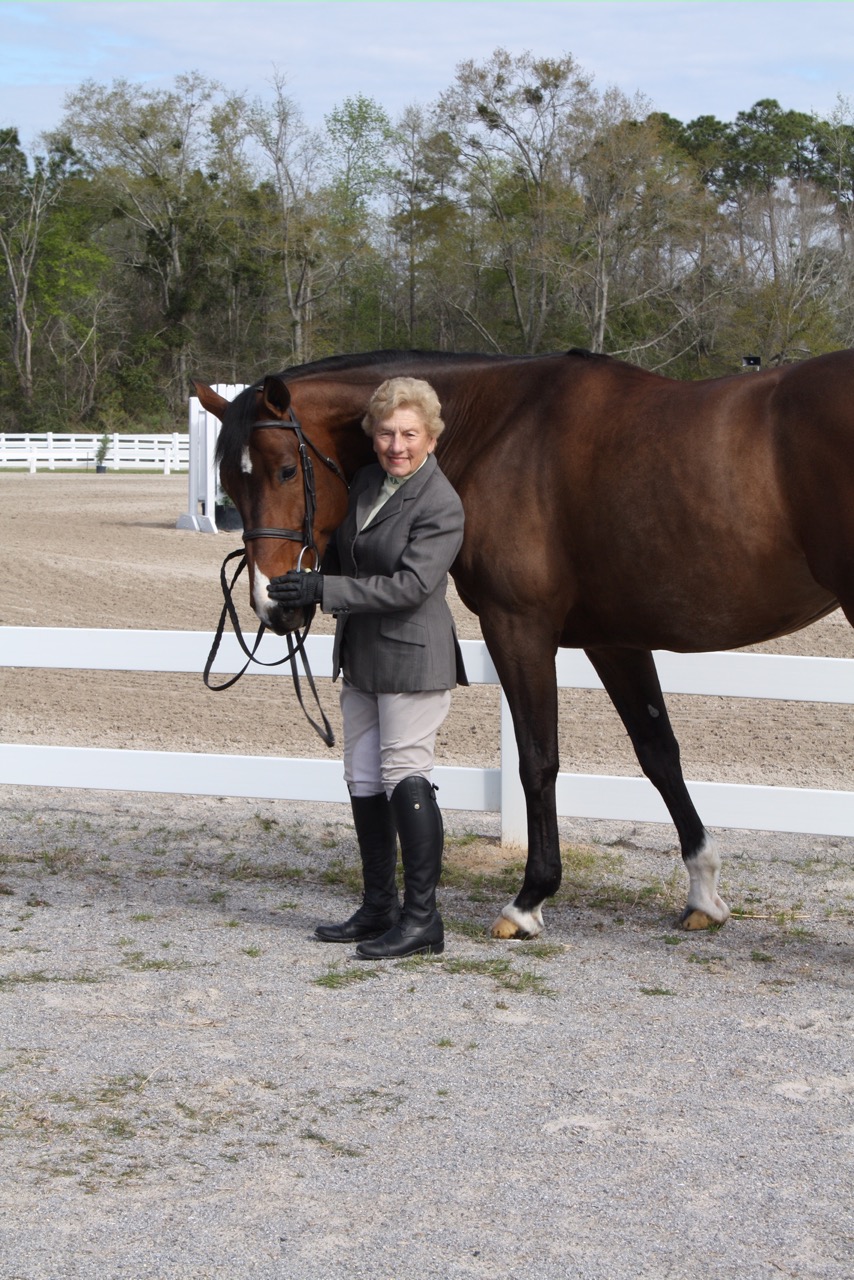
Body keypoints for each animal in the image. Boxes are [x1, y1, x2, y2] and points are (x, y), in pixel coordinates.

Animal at [193, 346, 854, 939]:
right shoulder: (614, 641)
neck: (497, 426)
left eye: (285, 469)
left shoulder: (518, 627)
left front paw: (530, 899)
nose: (273, 603)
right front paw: (703, 891)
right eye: (228, 484)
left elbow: (538, 759)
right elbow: (658, 753)